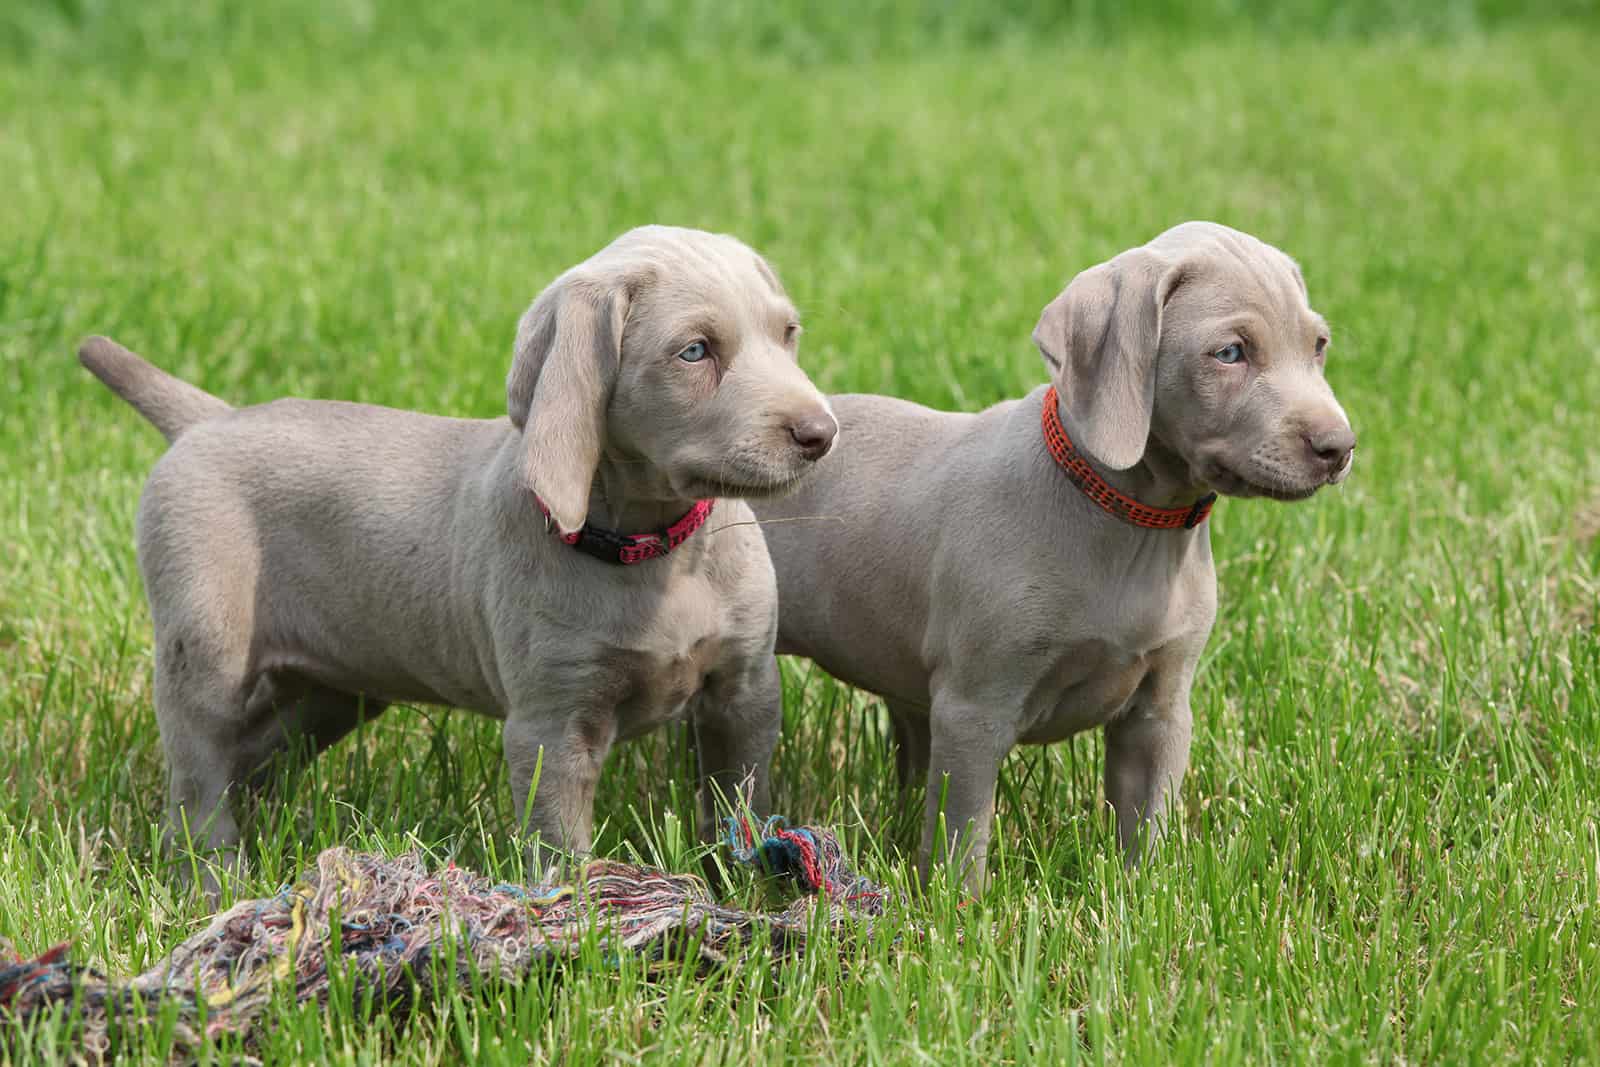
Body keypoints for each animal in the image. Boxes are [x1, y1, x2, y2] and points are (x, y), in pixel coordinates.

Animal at [79, 223, 838, 883]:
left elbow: (740, 805)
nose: (821, 434)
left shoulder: (744, 691)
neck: (655, 551)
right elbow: (561, 845)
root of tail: (207, 421)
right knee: (199, 780)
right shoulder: (552, 727)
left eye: (789, 333)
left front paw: (748, 890)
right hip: (205, 648)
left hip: (332, 687)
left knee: (256, 755)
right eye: (695, 352)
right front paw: (579, 916)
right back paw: (213, 879)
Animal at [758, 220, 1350, 889]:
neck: (1135, 526)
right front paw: (958, 909)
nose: (1340, 446)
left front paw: (1143, 896)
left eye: (1319, 345)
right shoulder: (973, 710)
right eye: (1230, 353)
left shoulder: (1162, 709)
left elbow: (1148, 827)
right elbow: (963, 837)